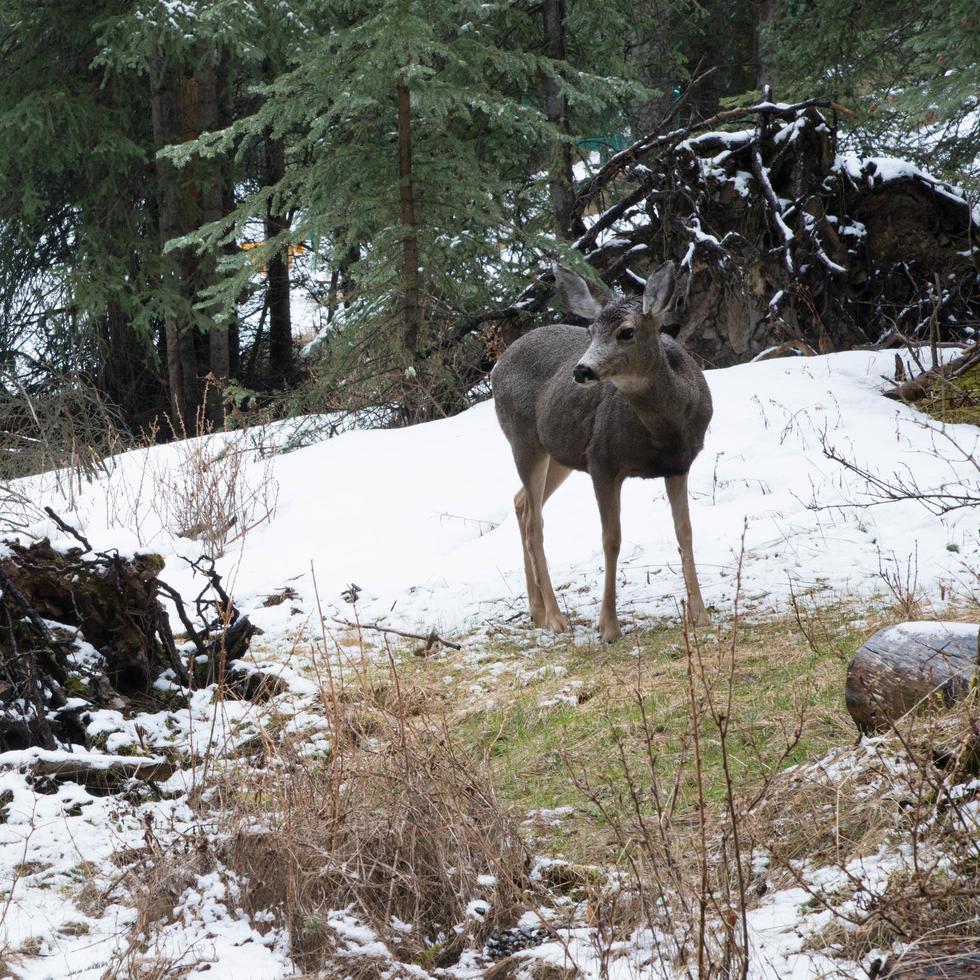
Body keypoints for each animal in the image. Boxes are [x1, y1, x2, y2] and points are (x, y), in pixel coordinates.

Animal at [490, 260, 712, 644]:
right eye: (591, 330)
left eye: (627, 332)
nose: (582, 370)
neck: (664, 431)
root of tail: (497, 365)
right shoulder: (602, 461)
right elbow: (612, 539)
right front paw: (608, 625)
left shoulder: (678, 464)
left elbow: (685, 531)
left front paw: (700, 615)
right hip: (523, 439)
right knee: (535, 521)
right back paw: (555, 617)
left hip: (558, 453)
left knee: (521, 503)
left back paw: (536, 611)